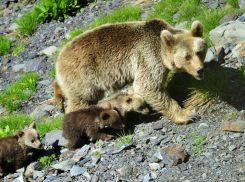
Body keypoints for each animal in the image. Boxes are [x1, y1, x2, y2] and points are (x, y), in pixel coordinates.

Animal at [54, 18, 208, 123]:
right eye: (187, 57)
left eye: (199, 52)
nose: (200, 70)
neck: (162, 51)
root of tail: (59, 59)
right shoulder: (148, 57)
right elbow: (148, 86)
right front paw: (187, 114)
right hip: (83, 77)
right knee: (83, 100)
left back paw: (59, 97)